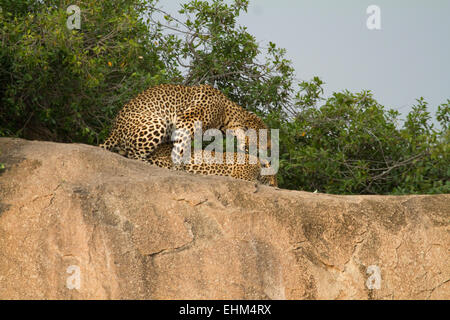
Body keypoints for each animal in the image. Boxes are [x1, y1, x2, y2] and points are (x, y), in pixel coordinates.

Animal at [99, 84, 270, 166]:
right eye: (261, 142)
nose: (266, 156)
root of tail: (114, 130)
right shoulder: (188, 120)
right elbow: (181, 146)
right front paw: (179, 165)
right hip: (158, 122)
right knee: (133, 156)